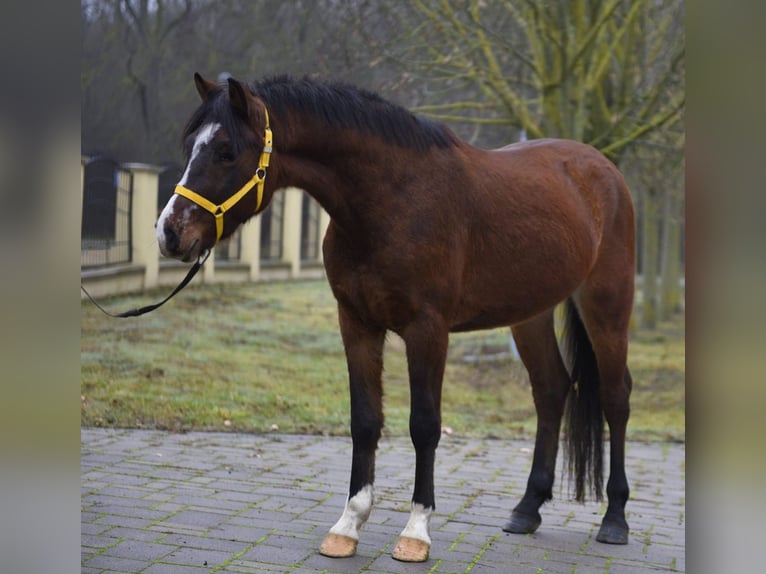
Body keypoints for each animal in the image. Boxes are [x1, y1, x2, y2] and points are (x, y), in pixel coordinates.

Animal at [157, 73, 636, 563]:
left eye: (226, 151)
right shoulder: (357, 324)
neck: (391, 200)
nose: (169, 233)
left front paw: (416, 532)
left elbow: (424, 426)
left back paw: (615, 518)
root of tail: (603, 167)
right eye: (191, 145)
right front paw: (347, 526)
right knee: (551, 390)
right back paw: (527, 508)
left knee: (616, 397)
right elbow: (365, 421)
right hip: (530, 313)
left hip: (607, 305)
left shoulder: (428, 331)